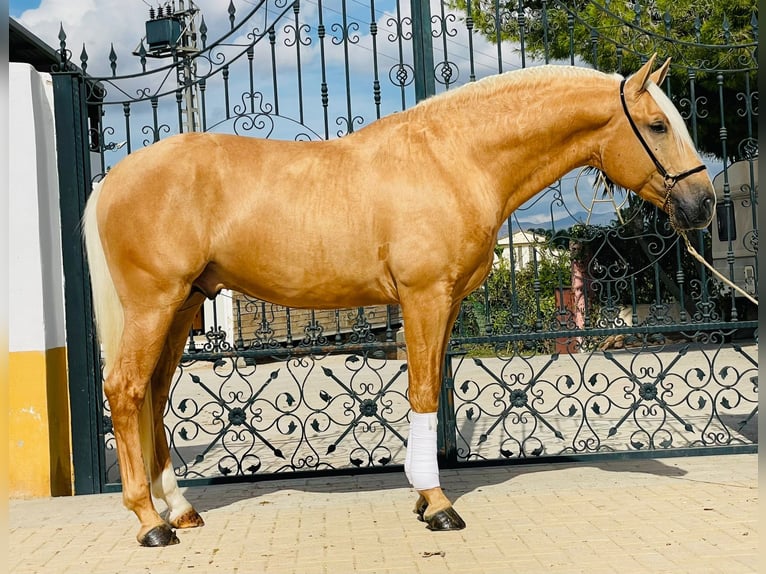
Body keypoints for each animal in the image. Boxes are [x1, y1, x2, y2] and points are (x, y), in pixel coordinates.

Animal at [82, 55, 712, 548]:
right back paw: (149, 522)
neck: (455, 159)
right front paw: (437, 505)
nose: (703, 204)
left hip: (183, 305)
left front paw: (423, 497)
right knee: (127, 389)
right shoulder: (423, 297)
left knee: (154, 394)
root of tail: (113, 179)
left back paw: (179, 509)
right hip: (154, 304)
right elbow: (424, 392)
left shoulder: (446, 303)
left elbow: (429, 385)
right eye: (657, 124)